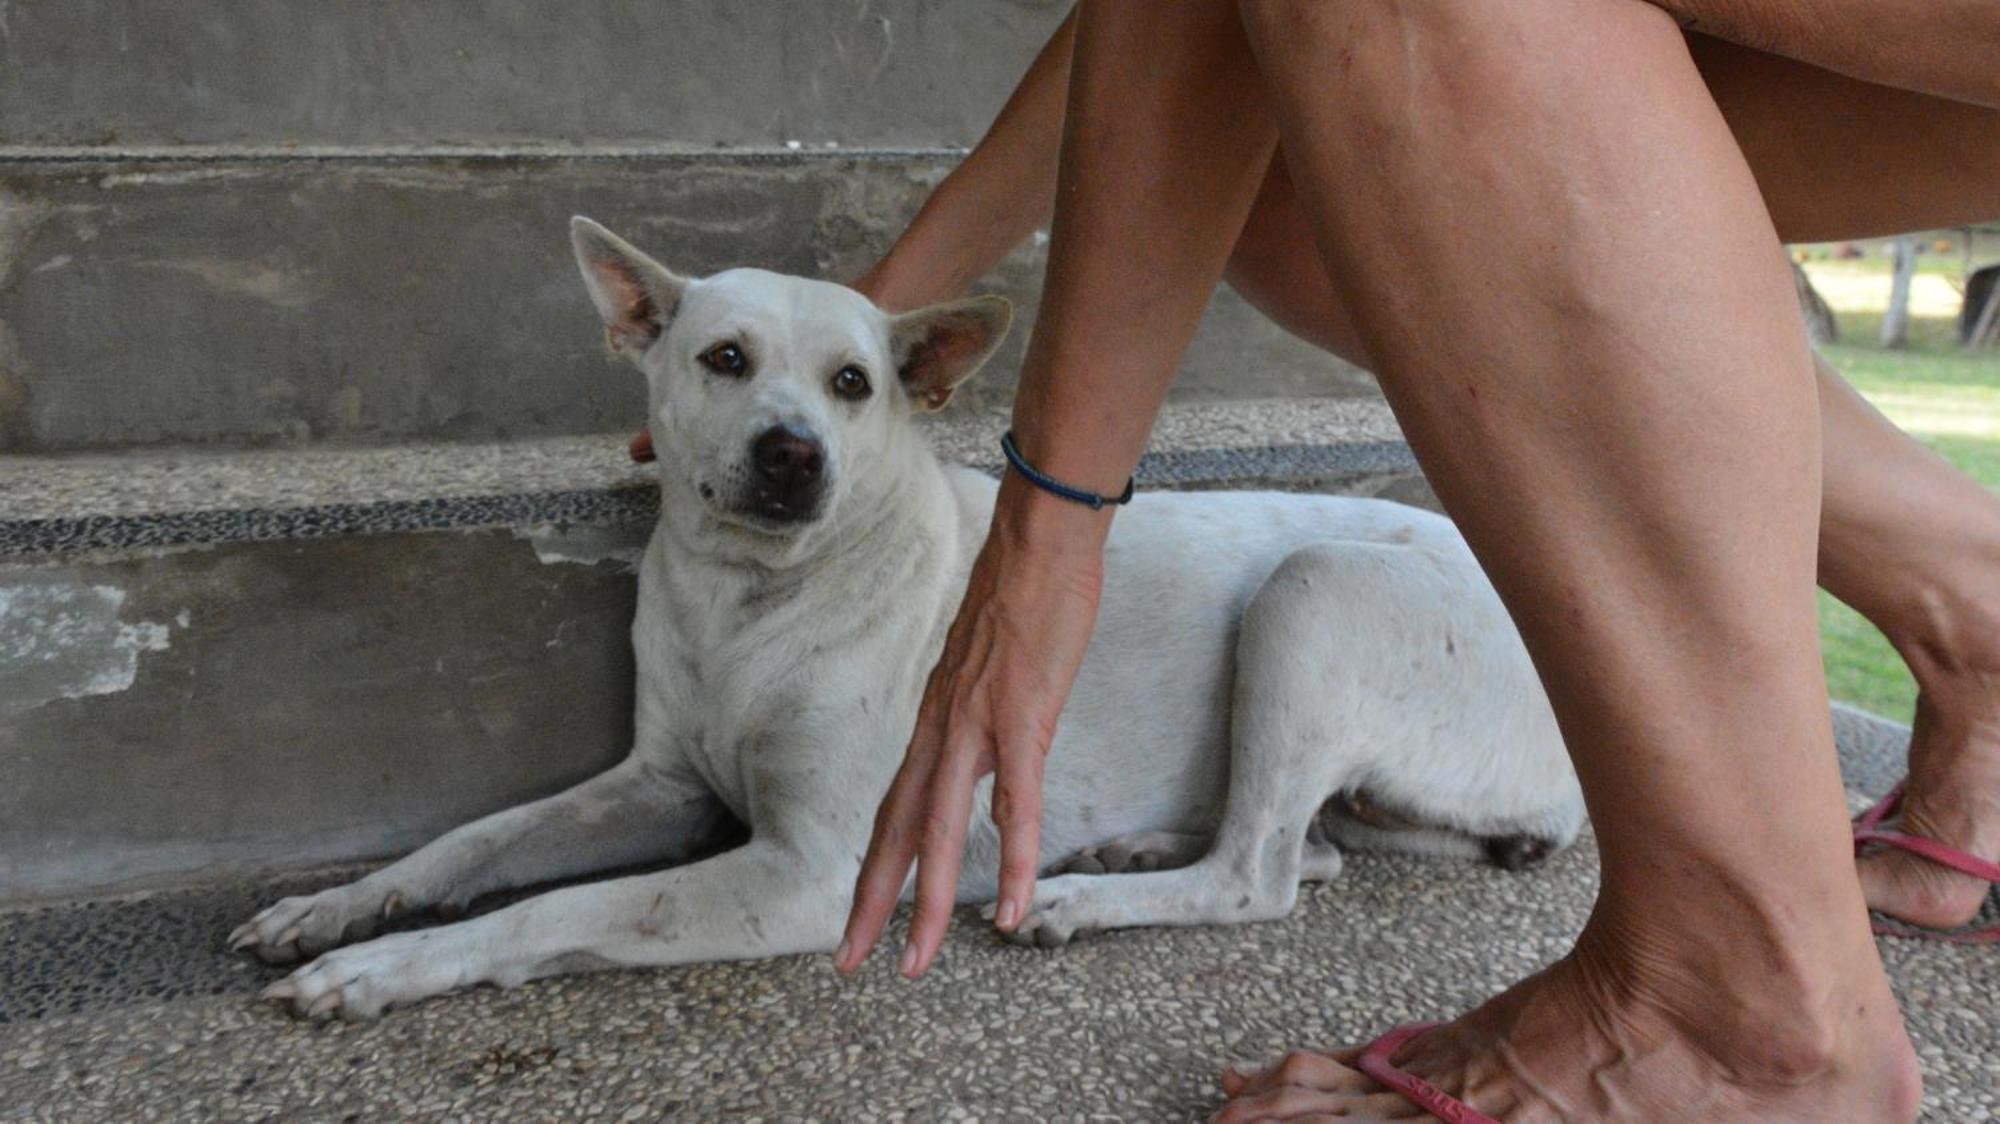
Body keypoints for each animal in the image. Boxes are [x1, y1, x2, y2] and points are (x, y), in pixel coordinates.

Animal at [227, 212, 1584, 1016]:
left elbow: (560, 908)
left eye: (853, 383)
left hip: (1310, 591)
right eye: (723, 358)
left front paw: (381, 968)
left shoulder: (811, 873)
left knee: (1260, 875)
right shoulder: (655, 784)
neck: (748, 602)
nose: (792, 454)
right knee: (1305, 846)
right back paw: (1131, 847)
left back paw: (1082, 900)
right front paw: (341, 905)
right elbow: (476, 842)